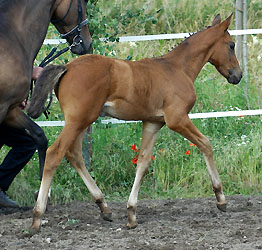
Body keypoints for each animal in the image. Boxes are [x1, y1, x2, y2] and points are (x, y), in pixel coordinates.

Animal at [26, 14, 242, 231]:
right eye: (231, 45)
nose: (237, 75)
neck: (177, 69)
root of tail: (67, 67)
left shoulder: (153, 123)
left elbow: (143, 162)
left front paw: (131, 213)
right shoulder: (177, 119)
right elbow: (206, 144)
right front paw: (221, 199)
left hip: (82, 121)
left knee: (74, 154)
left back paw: (104, 207)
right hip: (79, 120)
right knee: (55, 153)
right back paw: (37, 216)